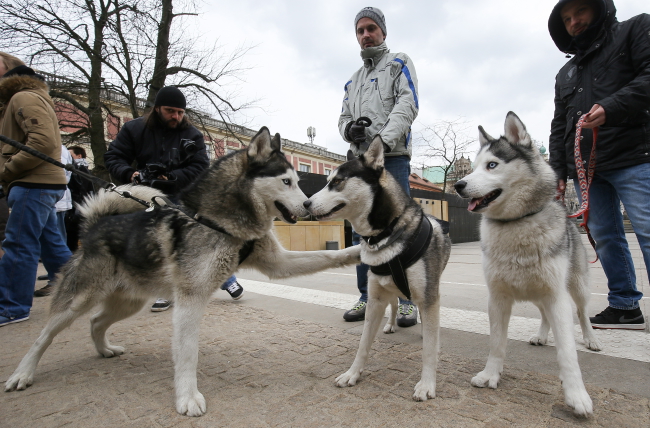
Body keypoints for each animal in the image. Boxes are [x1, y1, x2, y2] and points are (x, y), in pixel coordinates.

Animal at [5, 127, 360, 414]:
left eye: (299, 181)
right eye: (286, 181)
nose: (309, 206)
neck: (217, 220)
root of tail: (96, 226)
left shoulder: (278, 262)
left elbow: (326, 256)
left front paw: (359, 251)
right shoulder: (191, 298)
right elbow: (188, 353)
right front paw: (188, 398)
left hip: (127, 302)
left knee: (96, 322)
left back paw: (104, 349)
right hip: (80, 299)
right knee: (43, 337)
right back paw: (22, 373)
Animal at [304, 136, 450, 402]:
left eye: (337, 181)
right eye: (328, 180)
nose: (306, 203)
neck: (386, 233)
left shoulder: (428, 296)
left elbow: (429, 349)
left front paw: (427, 384)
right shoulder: (374, 299)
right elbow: (363, 344)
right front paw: (353, 373)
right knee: (393, 304)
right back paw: (391, 324)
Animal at [454, 112, 600, 416]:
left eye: (492, 165)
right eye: (473, 167)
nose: (458, 185)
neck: (516, 224)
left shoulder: (557, 297)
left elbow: (568, 352)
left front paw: (577, 395)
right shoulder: (497, 297)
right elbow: (496, 342)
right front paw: (491, 375)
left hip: (576, 287)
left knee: (582, 314)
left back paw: (591, 338)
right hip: (536, 292)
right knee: (543, 315)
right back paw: (542, 335)